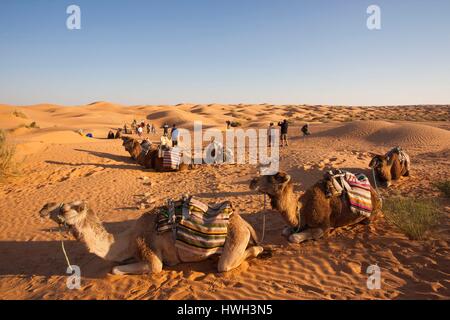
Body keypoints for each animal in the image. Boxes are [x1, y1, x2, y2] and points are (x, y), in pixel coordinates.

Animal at [39, 201, 264, 274]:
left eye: (65, 208)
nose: (42, 209)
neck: (126, 241)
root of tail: (244, 222)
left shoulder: (150, 255)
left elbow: (115, 269)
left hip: (236, 236)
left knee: (226, 264)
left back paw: (259, 249)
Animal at [248, 172, 382, 242]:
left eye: (273, 178)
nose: (252, 181)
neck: (302, 211)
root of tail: (375, 193)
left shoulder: (323, 227)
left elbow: (294, 237)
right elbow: (285, 231)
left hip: (371, 215)